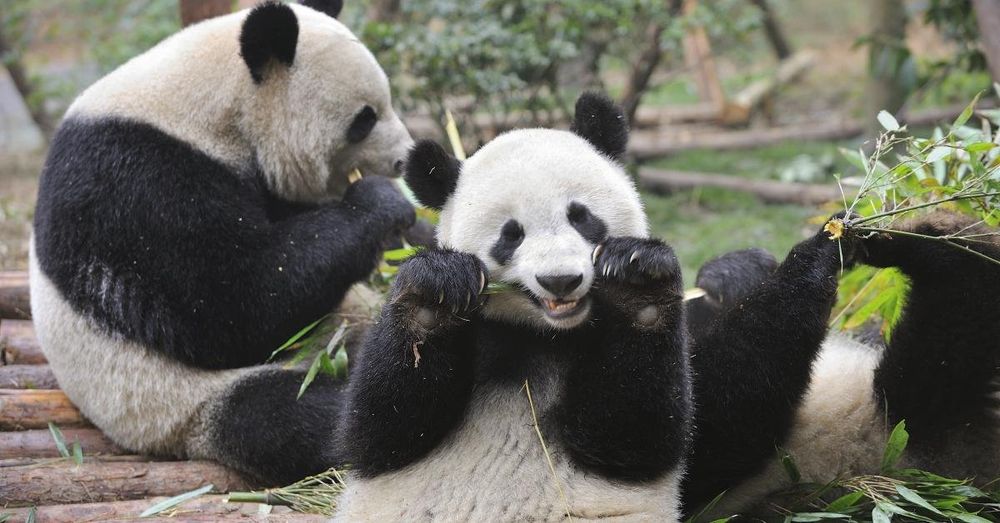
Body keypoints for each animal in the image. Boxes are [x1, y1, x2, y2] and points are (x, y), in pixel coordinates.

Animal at [29, 0, 415, 485]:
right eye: (364, 119)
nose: (404, 158)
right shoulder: (134, 183)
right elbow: (233, 304)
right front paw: (381, 204)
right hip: (173, 403)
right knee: (293, 413)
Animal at [334, 92, 1000, 521]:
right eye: (510, 235)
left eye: (583, 217)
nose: (561, 281)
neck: (546, 338)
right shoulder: (479, 342)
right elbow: (380, 430)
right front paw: (434, 289)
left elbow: (642, 430)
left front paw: (638, 280)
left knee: (940, 350)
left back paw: (927, 232)